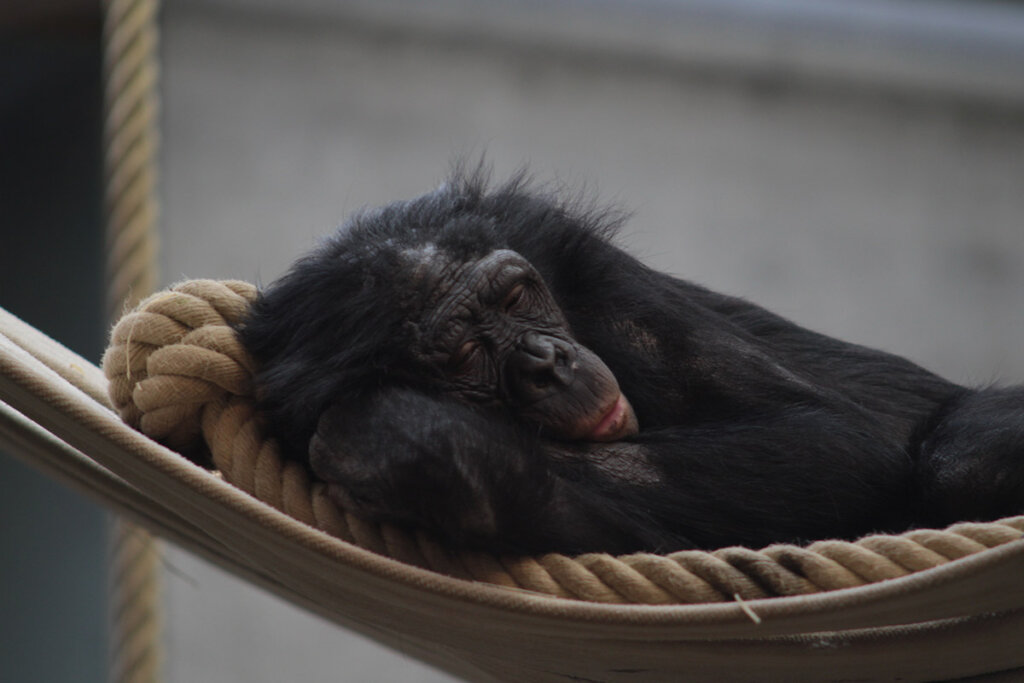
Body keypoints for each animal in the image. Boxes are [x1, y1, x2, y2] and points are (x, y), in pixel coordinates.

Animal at [234, 169, 1024, 557]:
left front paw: (414, 443)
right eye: (463, 354)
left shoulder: (578, 257)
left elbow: (827, 438)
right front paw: (440, 464)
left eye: (514, 295)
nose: (547, 362)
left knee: (960, 455)